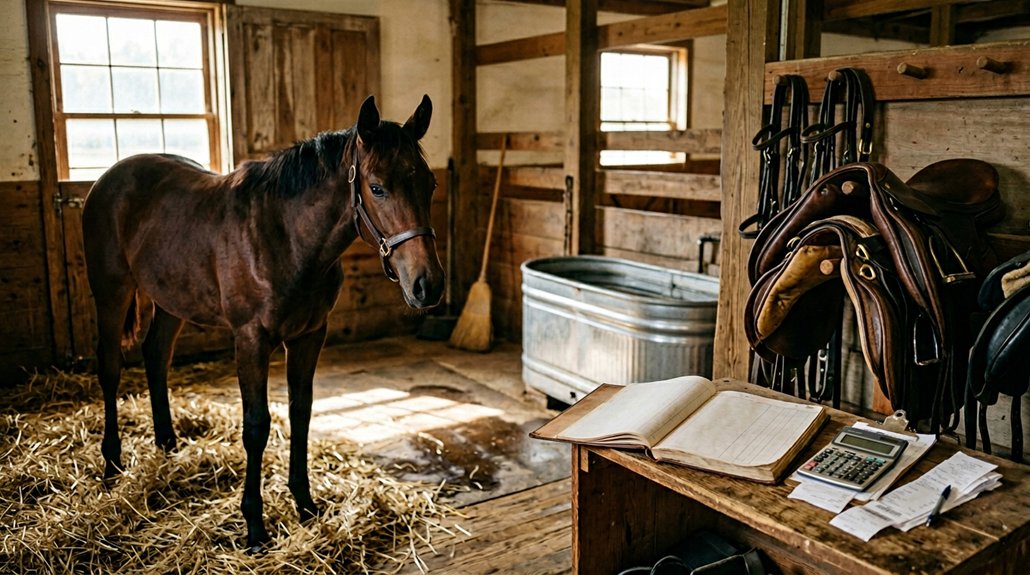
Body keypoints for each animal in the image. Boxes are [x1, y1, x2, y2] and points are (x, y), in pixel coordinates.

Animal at [81, 95, 444, 550]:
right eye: (377, 187)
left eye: (430, 184)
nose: (428, 285)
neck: (284, 236)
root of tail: (107, 180)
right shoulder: (251, 340)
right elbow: (256, 426)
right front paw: (255, 525)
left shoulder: (310, 336)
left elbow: (301, 412)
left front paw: (305, 504)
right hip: (111, 292)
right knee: (110, 368)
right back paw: (112, 462)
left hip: (171, 297)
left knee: (156, 355)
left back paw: (167, 445)